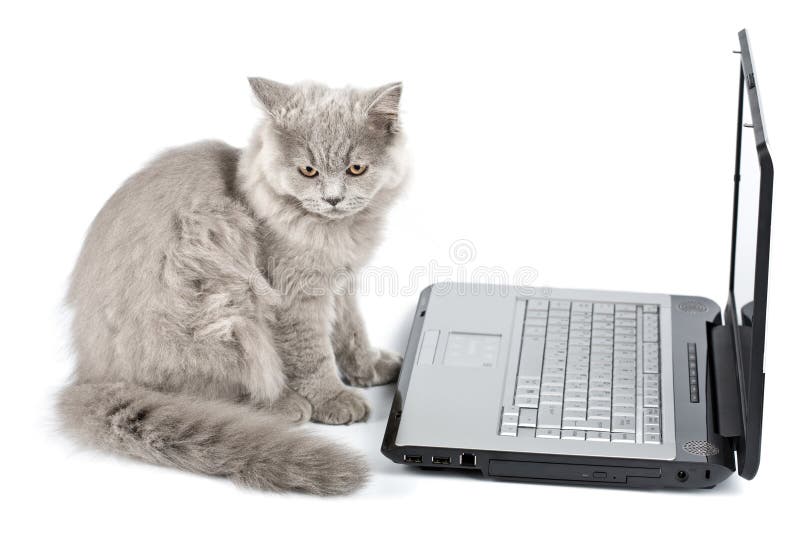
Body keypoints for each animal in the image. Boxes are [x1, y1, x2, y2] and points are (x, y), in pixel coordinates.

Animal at [59, 79, 410, 498]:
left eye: (356, 168)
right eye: (308, 170)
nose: (333, 198)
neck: (332, 232)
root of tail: (90, 375)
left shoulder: (341, 283)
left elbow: (351, 333)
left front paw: (370, 369)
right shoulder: (296, 294)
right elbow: (313, 353)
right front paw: (334, 398)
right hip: (225, 308)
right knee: (212, 395)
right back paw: (285, 405)